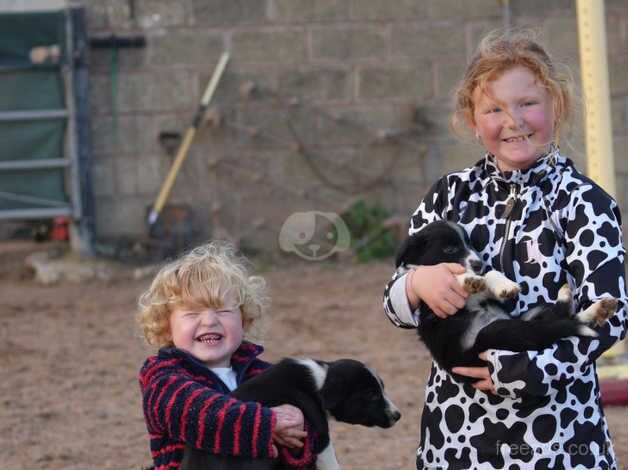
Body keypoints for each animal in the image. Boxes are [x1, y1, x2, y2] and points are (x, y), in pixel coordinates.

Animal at [394, 220, 616, 382]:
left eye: (470, 244)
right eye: (449, 249)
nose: (478, 263)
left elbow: (490, 274)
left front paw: (504, 286)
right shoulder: (432, 303)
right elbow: (446, 275)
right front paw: (467, 279)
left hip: (529, 317)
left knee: (562, 316)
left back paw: (595, 308)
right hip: (497, 333)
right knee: (557, 322)